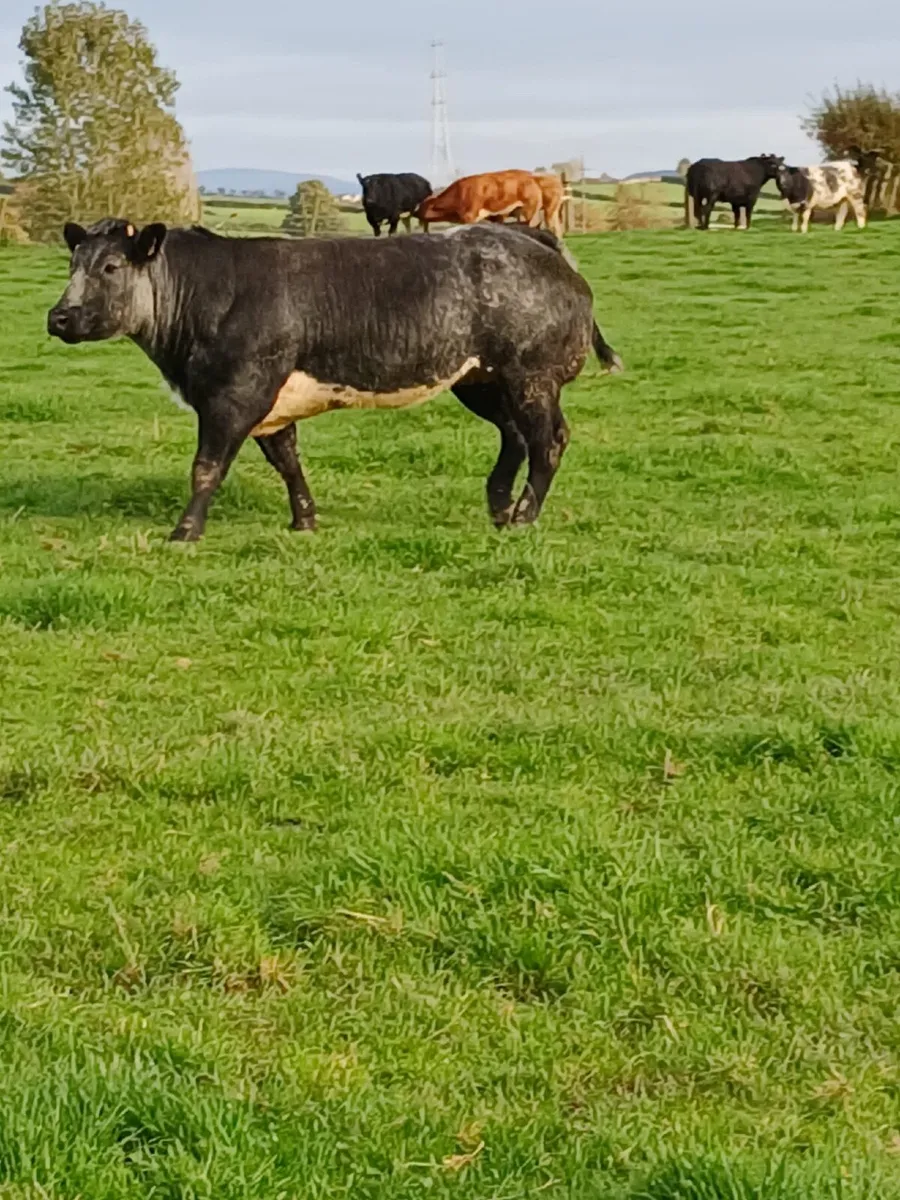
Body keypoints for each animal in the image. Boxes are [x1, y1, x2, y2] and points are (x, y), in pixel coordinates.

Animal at [47, 219, 623, 542]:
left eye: (111, 267)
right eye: (73, 263)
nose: (59, 316)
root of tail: (531, 236)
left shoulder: (234, 396)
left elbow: (206, 469)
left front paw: (185, 531)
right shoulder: (270, 405)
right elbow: (288, 463)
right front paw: (304, 521)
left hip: (533, 377)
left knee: (548, 440)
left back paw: (524, 515)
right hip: (481, 379)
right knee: (515, 437)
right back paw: (500, 506)